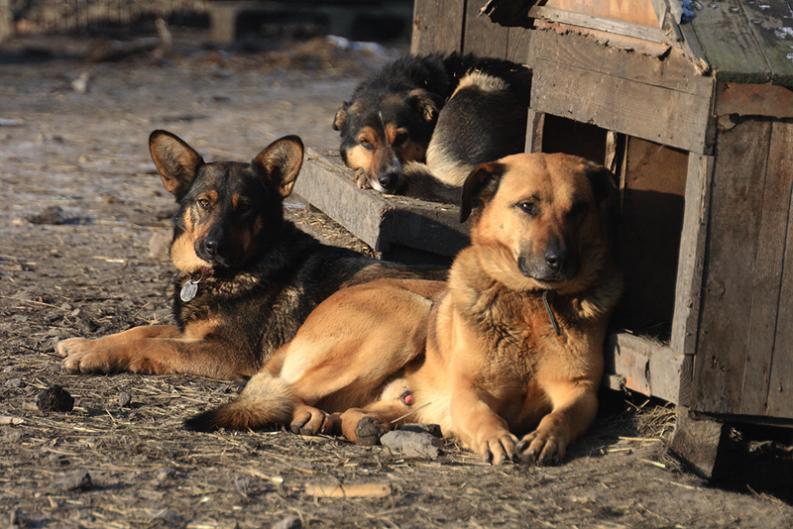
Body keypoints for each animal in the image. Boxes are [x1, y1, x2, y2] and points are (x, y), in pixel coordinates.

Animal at [55, 131, 442, 380]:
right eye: (204, 202)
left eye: (245, 207)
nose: (214, 247)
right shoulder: (192, 331)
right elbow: (142, 330)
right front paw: (85, 343)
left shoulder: (226, 351)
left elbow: (160, 346)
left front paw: (94, 355)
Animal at [189, 151, 620, 464]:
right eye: (527, 206)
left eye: (578, 209)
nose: (559, 261)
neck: (531, 305)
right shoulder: (469, 390)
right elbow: (482, 414)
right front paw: (496, 437)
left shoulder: (581, 393)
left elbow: (562, 415)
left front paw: (546, 438)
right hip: (406, 316)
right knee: (277, 393)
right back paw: (311, 416)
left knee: (353, 412)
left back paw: (360, 424)